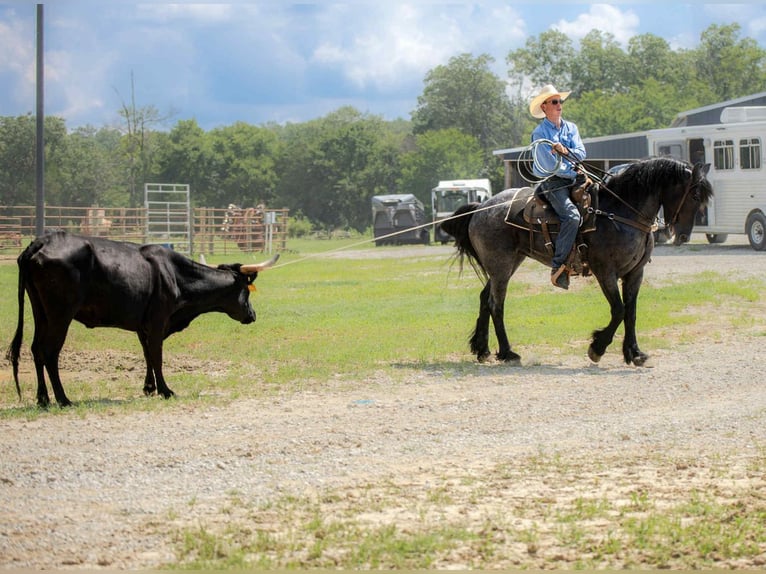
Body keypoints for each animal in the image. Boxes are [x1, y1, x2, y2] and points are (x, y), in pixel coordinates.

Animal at [441, 156, 713, 366]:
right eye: (694, 194)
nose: (683, 236)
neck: (620, 212)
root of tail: (481, 207)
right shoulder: (606, 272)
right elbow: (619, 310)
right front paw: (597, 348)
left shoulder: (635, 273)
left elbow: (631, 312)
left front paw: (634, 353)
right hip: (501, 265)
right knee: (496, 305)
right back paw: (508, 353)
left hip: (506, 265)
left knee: (484, 299)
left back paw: (483, 350)